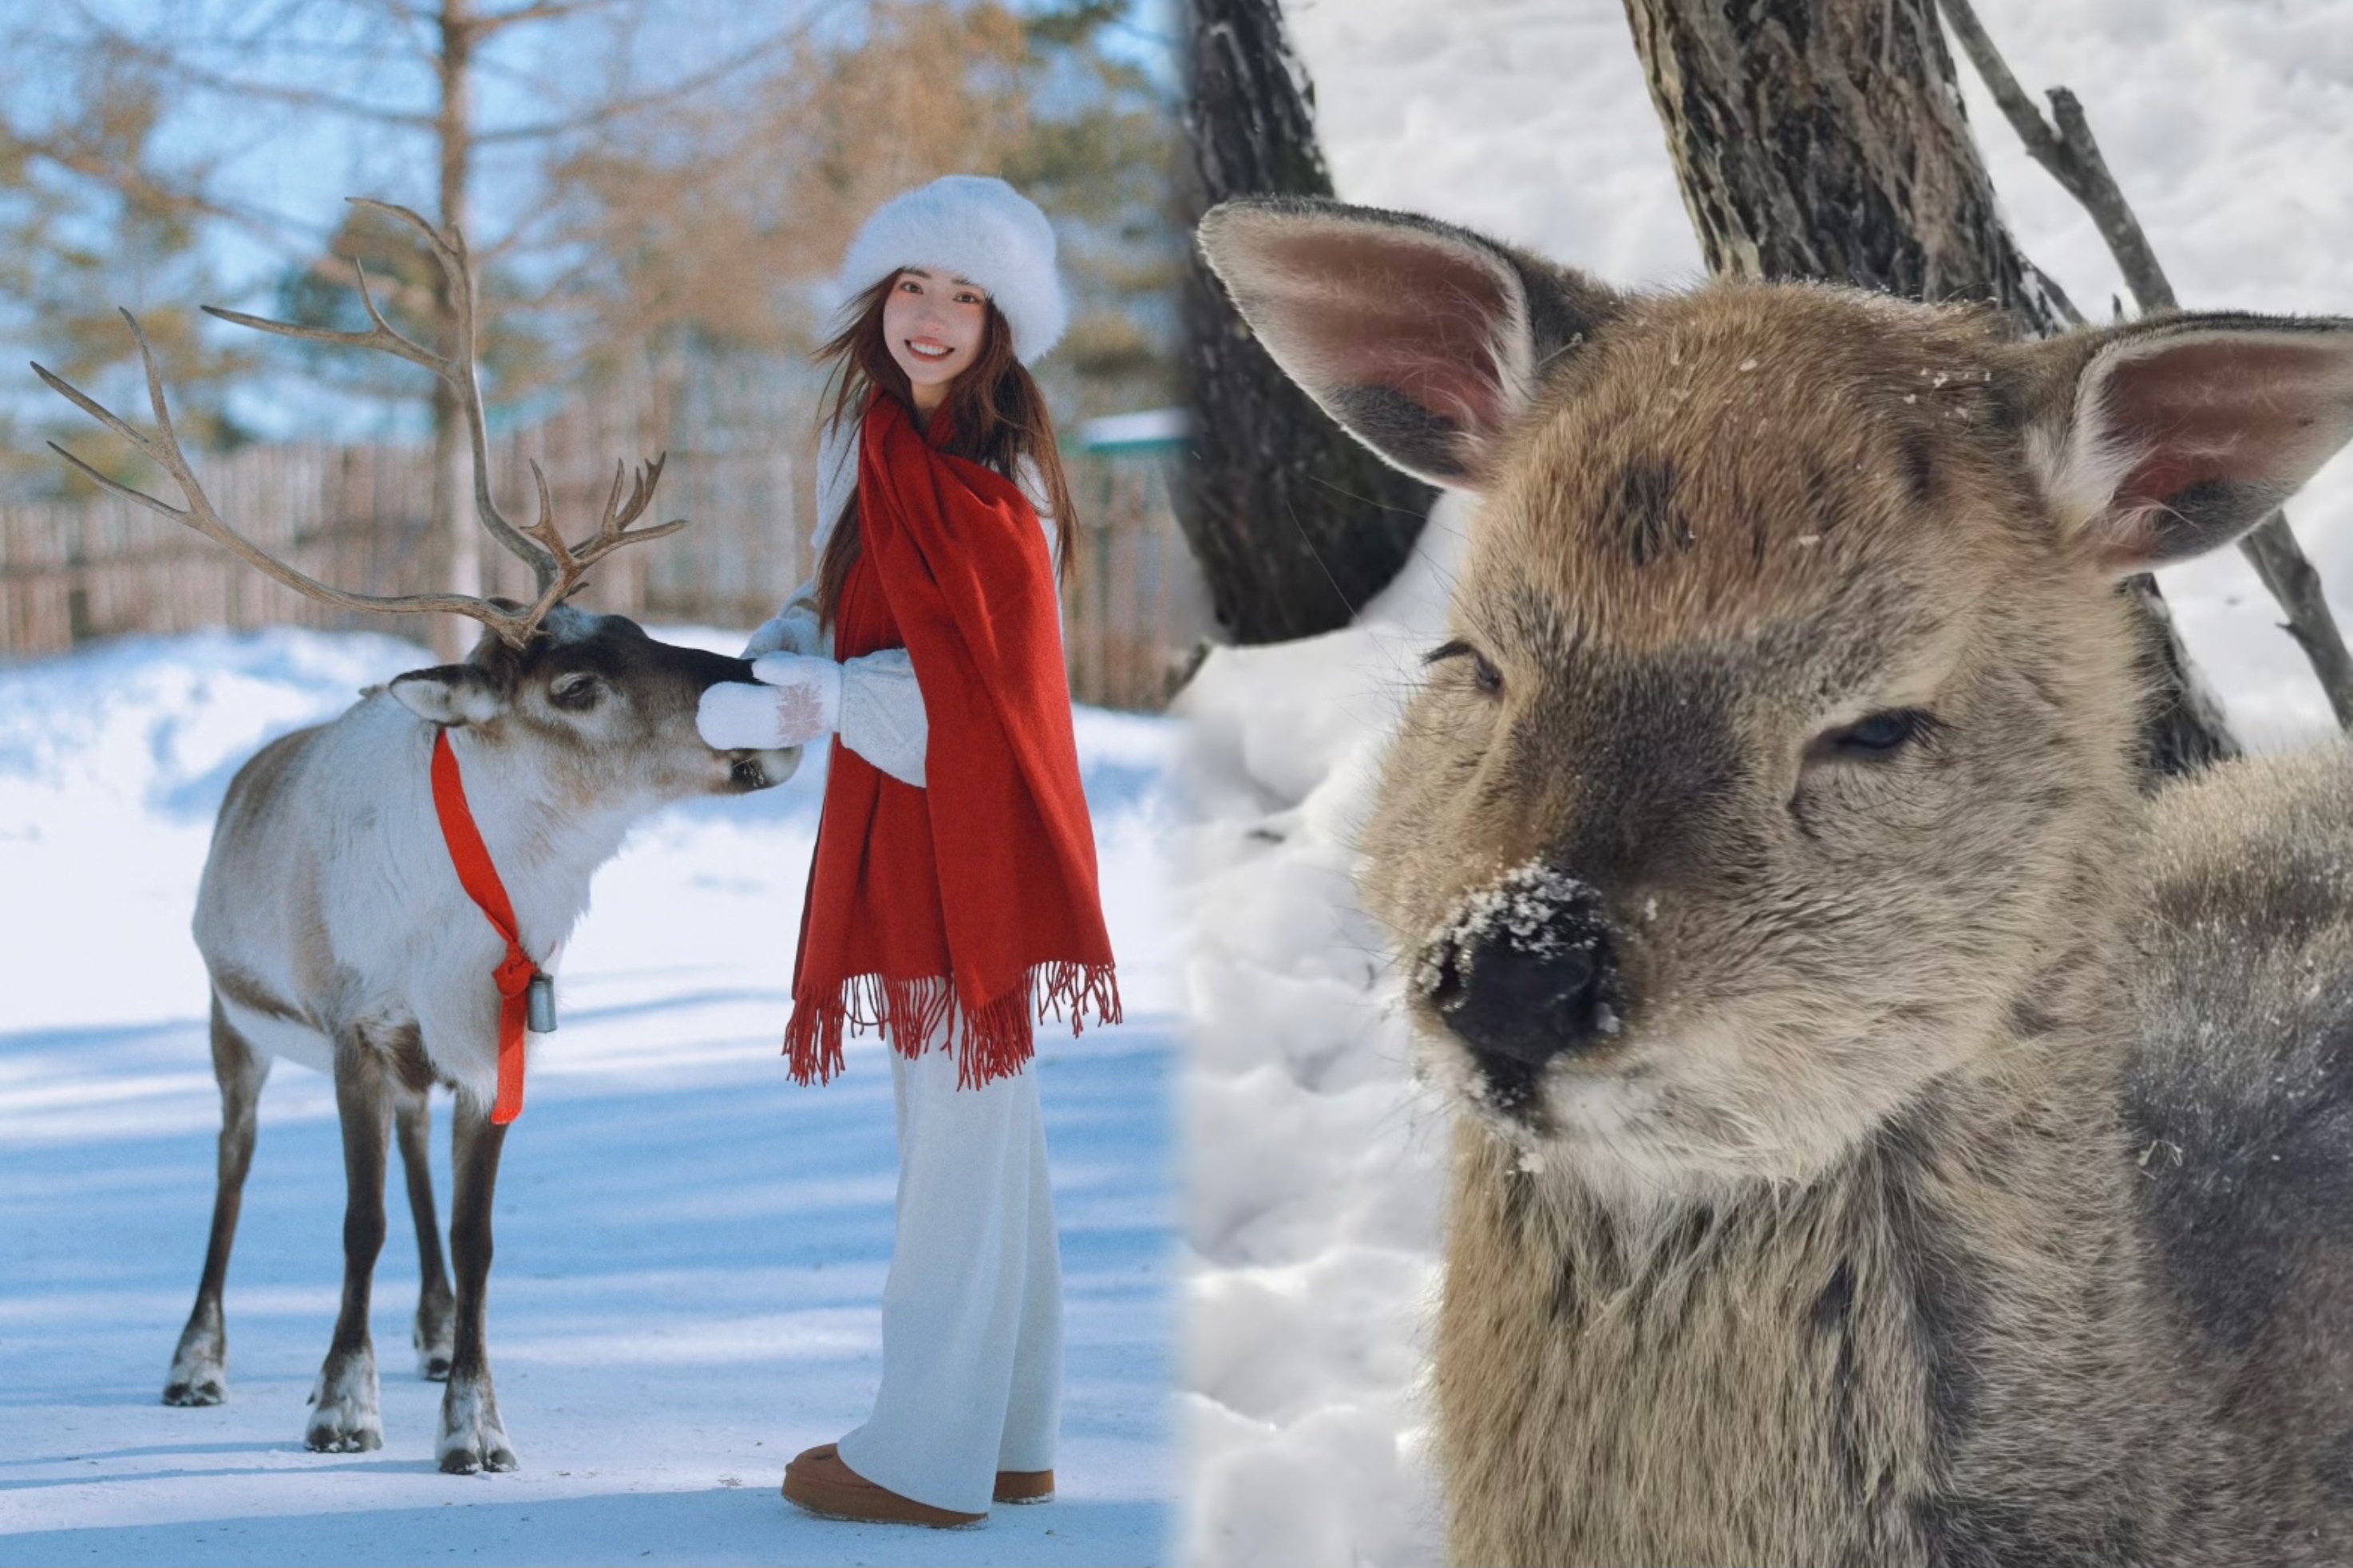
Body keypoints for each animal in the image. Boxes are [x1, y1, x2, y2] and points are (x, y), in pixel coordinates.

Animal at [34, 199, 800, 1475]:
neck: (480, 908)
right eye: (578, 685)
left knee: (412, 1161)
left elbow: (479, 1232)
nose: (767, 698)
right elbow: (358, 1222)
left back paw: (436, 1338)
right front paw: (343, 1405)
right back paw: (197, 1362)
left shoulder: (490, 1046)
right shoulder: (357, 1027)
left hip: (408, 1066)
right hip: (229, 1020)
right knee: (234, 1168)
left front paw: (476, 1421)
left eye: (637, 623)